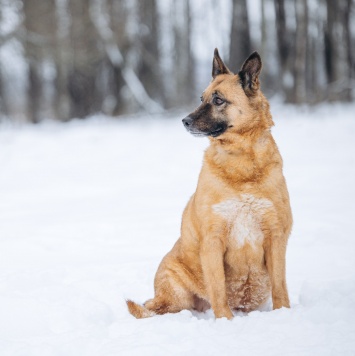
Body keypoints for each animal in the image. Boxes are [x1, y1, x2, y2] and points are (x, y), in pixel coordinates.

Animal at [127, 48, 292, 318]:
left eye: (218, 100)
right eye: (201, 98)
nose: (184, 121)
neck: (242, 168)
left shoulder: (275, 237)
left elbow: (280, 287)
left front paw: (284, 315)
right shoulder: (213, 240)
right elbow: (218, 289)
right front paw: (226, 321)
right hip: (175, 297)